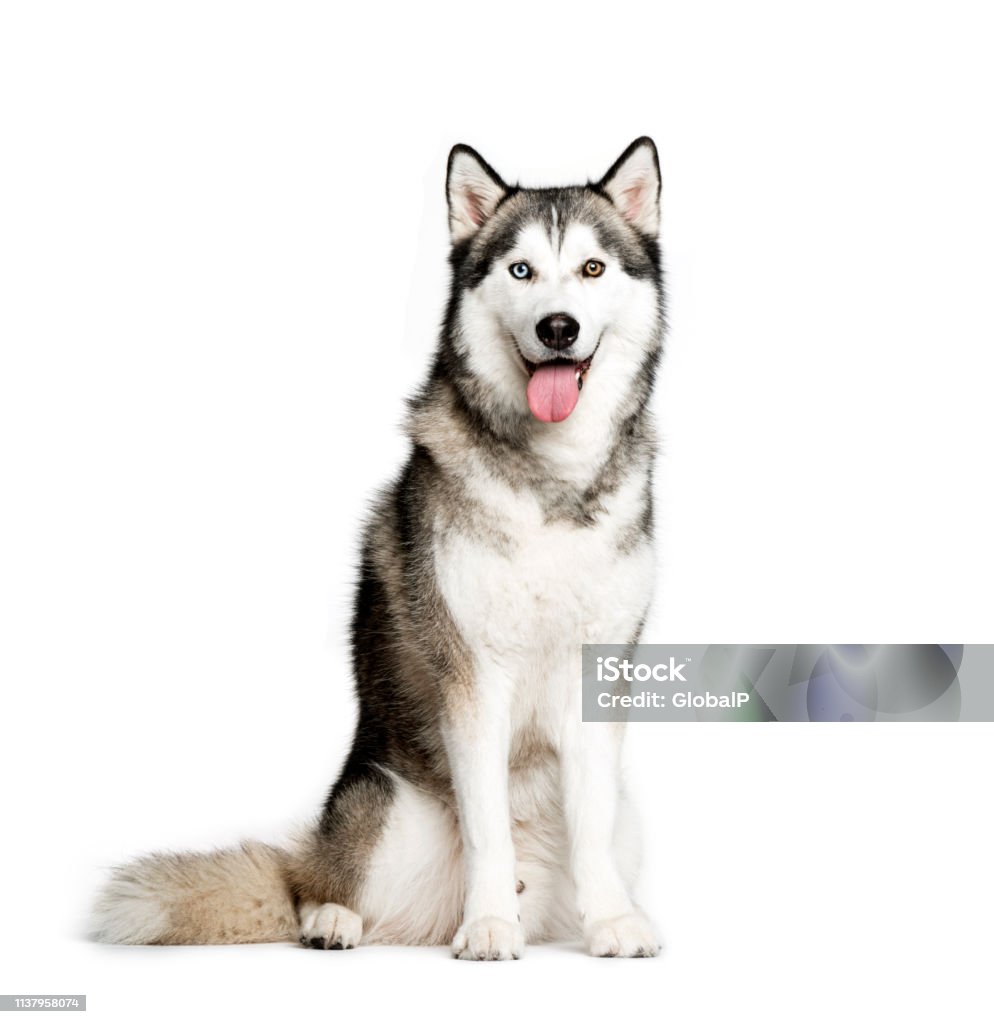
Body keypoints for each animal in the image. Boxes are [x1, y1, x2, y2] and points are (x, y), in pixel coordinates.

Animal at [93, 138, 663, 958]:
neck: (552, 478)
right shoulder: (473, 676)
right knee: (312, 884)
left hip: (625, 823)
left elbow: (590, 822)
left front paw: (615, 922)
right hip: (380, 802)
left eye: (592, 268)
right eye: (521, 270)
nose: (558, 327)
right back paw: (338, 919)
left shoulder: (597, 674)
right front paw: (490, 926)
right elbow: (487, 827)